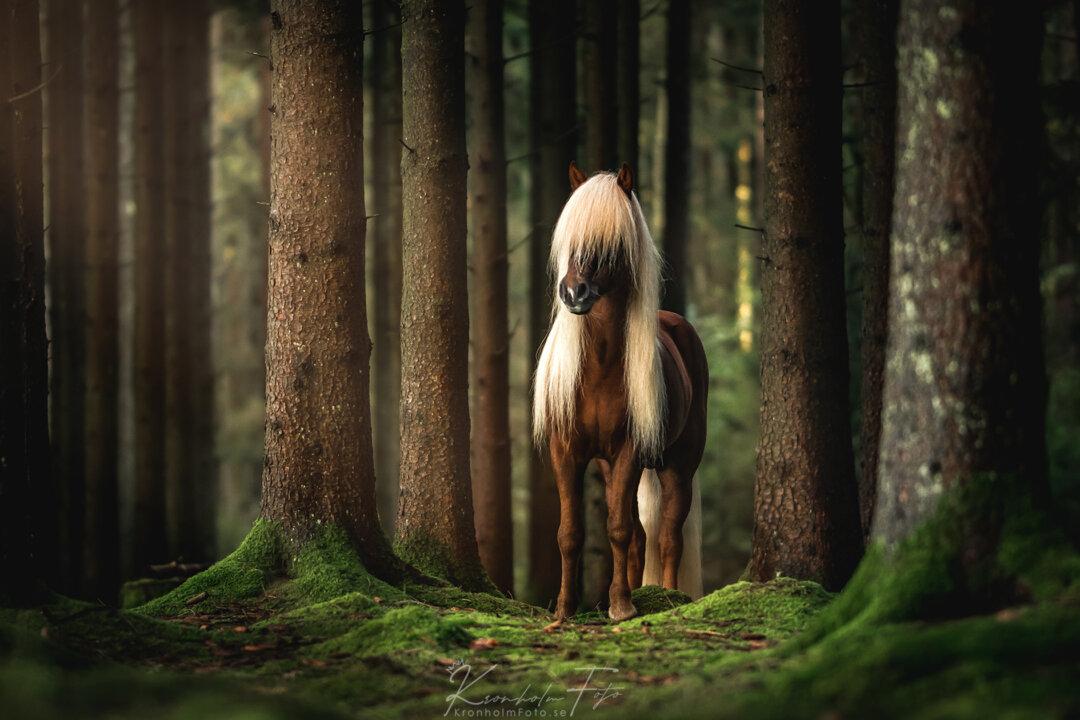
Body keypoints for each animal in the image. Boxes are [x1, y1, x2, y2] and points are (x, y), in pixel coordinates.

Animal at [533, 161, 708, 621]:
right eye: (570, 239)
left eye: (611, 242)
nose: (573, 293)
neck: (598, 366)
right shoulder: (567, 451)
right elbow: (571, 532)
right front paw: (564, 609)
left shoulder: (629, 451)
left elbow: (617, 529)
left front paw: (621, 607)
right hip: (613, 467)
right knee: (642, 537)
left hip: (676, 465)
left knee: (668, 537)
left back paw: (669, 596)